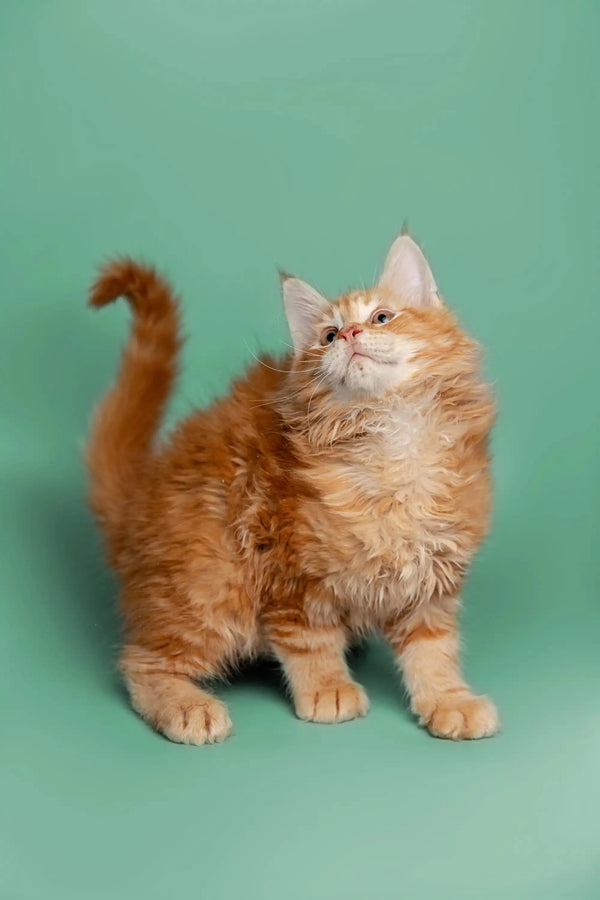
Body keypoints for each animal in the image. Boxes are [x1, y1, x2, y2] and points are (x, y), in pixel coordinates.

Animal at [86, 232, 500, 744]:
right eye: (328, 335)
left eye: (381, 317)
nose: (351, 335)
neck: (390, 445)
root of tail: (135, 504)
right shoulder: (289, 570)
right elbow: (309, 641)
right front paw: (327, 689)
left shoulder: (432, 575)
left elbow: (433, 650)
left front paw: (448, 699)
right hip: (212, 585)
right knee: (140, 660)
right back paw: (187, 706)